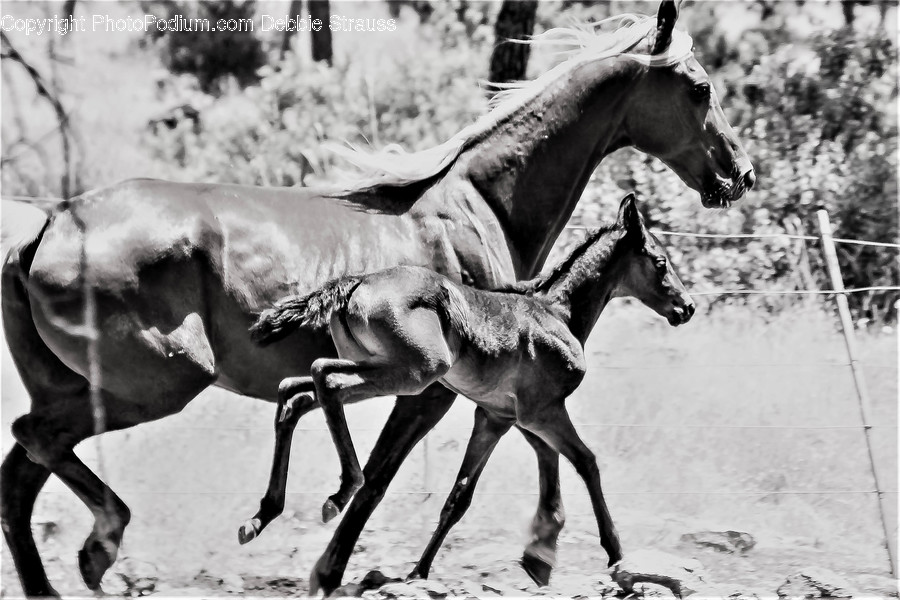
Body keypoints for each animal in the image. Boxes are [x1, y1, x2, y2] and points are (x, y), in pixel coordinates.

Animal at [247, 193, 694, 572]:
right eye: (660, 261)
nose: (686, 307)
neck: (557, 313)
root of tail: (356, 283)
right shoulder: (542, 411)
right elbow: (587, 462)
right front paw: (614, 553)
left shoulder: (497, 417)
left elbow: (460, 493)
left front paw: (422, 571)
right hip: (416, 372)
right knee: (325, 376)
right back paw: (342, 489)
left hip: (379, 368)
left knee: (295, 391)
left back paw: (262, 514)